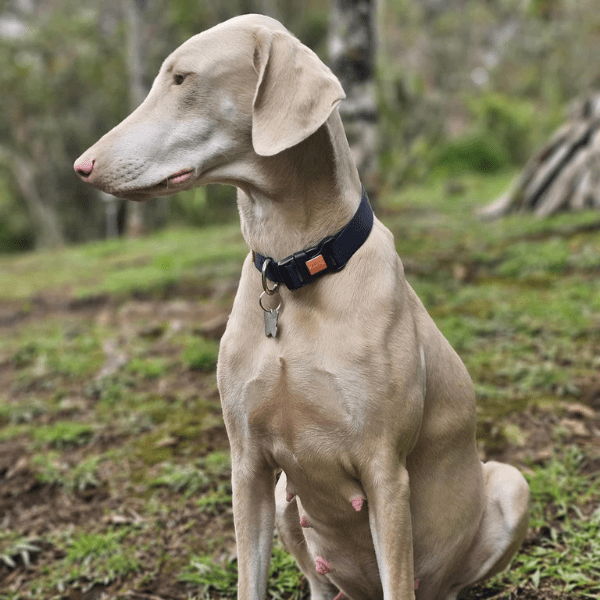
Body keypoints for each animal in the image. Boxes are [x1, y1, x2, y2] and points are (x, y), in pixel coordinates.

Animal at [75, 14, 528, 600]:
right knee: (319, 579)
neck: (293, 271)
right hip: (288, 503)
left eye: (181, 79)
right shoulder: (247, 464)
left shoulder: (385, 470)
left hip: (510, 487)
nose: (82, 167)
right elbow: (249, 579)